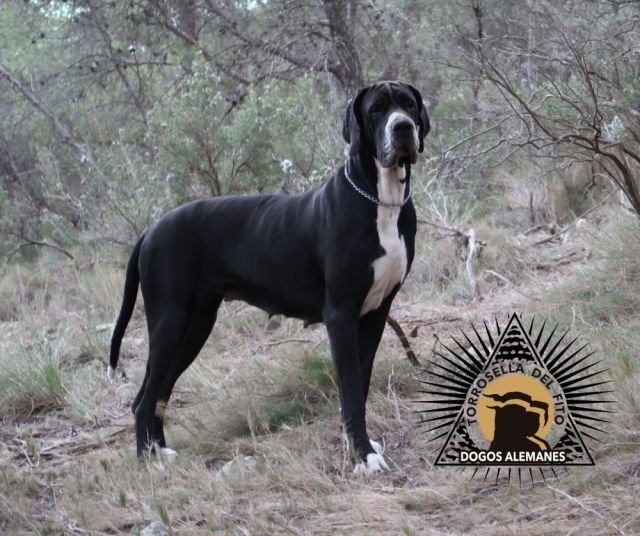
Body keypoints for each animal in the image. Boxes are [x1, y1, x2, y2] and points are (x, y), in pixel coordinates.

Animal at [109, 80, 429, 474]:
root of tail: (150, 230)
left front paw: (358, 447)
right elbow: (351, 391)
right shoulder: (340, 315)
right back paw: (148, 463)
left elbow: (361, 382)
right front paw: (362, 455)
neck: (381, 199)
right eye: (377, 109)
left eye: (409, 105)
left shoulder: (375, 314)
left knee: (160, 391)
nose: (403, 128)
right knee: (143, 398)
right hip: (170, 322)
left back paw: (161, 451)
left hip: (195, 325)